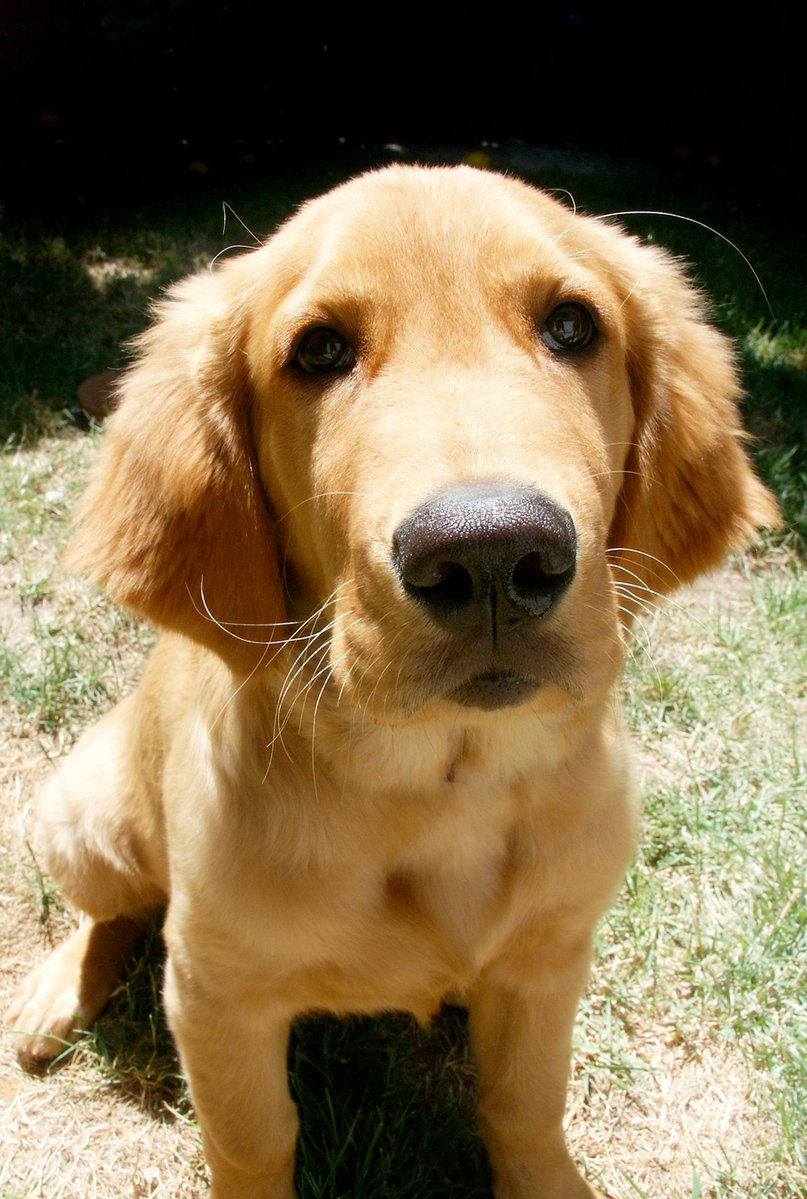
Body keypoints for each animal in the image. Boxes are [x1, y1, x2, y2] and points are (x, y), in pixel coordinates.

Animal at [4, 169, 772, 1199]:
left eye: (572, 325)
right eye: (319, 349)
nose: (491, 555)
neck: (445, 783)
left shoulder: (547, 958)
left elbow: (525, 1107)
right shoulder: (214, 992)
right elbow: (252, 1139)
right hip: (81, 813)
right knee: (114, 909)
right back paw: (54, 994)